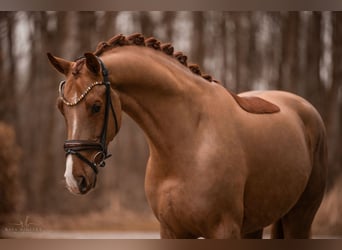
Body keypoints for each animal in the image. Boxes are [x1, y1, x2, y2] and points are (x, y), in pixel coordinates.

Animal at [47, 33, 326, 238]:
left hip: (300, 218)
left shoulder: (223, 230)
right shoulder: (171, 231)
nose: (74, 178)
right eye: (61, 108)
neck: (190, 140)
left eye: (95, 106)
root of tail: (304, 107)